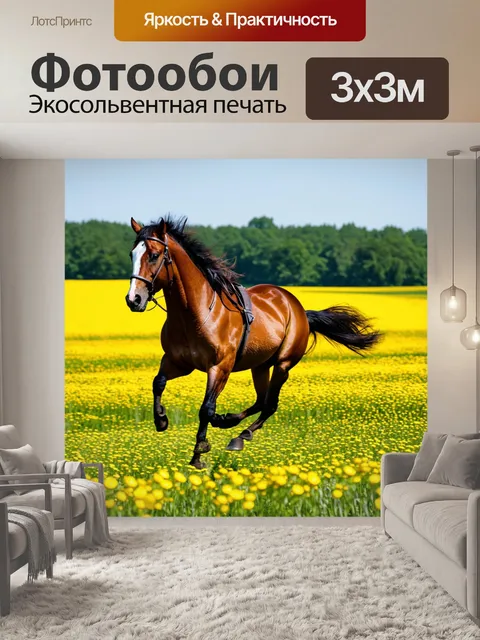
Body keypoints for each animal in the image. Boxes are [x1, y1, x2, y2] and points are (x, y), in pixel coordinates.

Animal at [125, 216, 382, 469]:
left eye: (154, 255)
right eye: (132, 254)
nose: (133, 299)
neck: (194, 313)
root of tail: (298, 309)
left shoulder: (220, 367)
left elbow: (206, 408)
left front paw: (199, 453)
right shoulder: (178, 362)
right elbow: (158, 382)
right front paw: (161, 419)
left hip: (283, 364)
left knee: (270, 404)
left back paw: (240, 436)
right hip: (260, 366)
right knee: (261, 400)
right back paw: (228, 421)